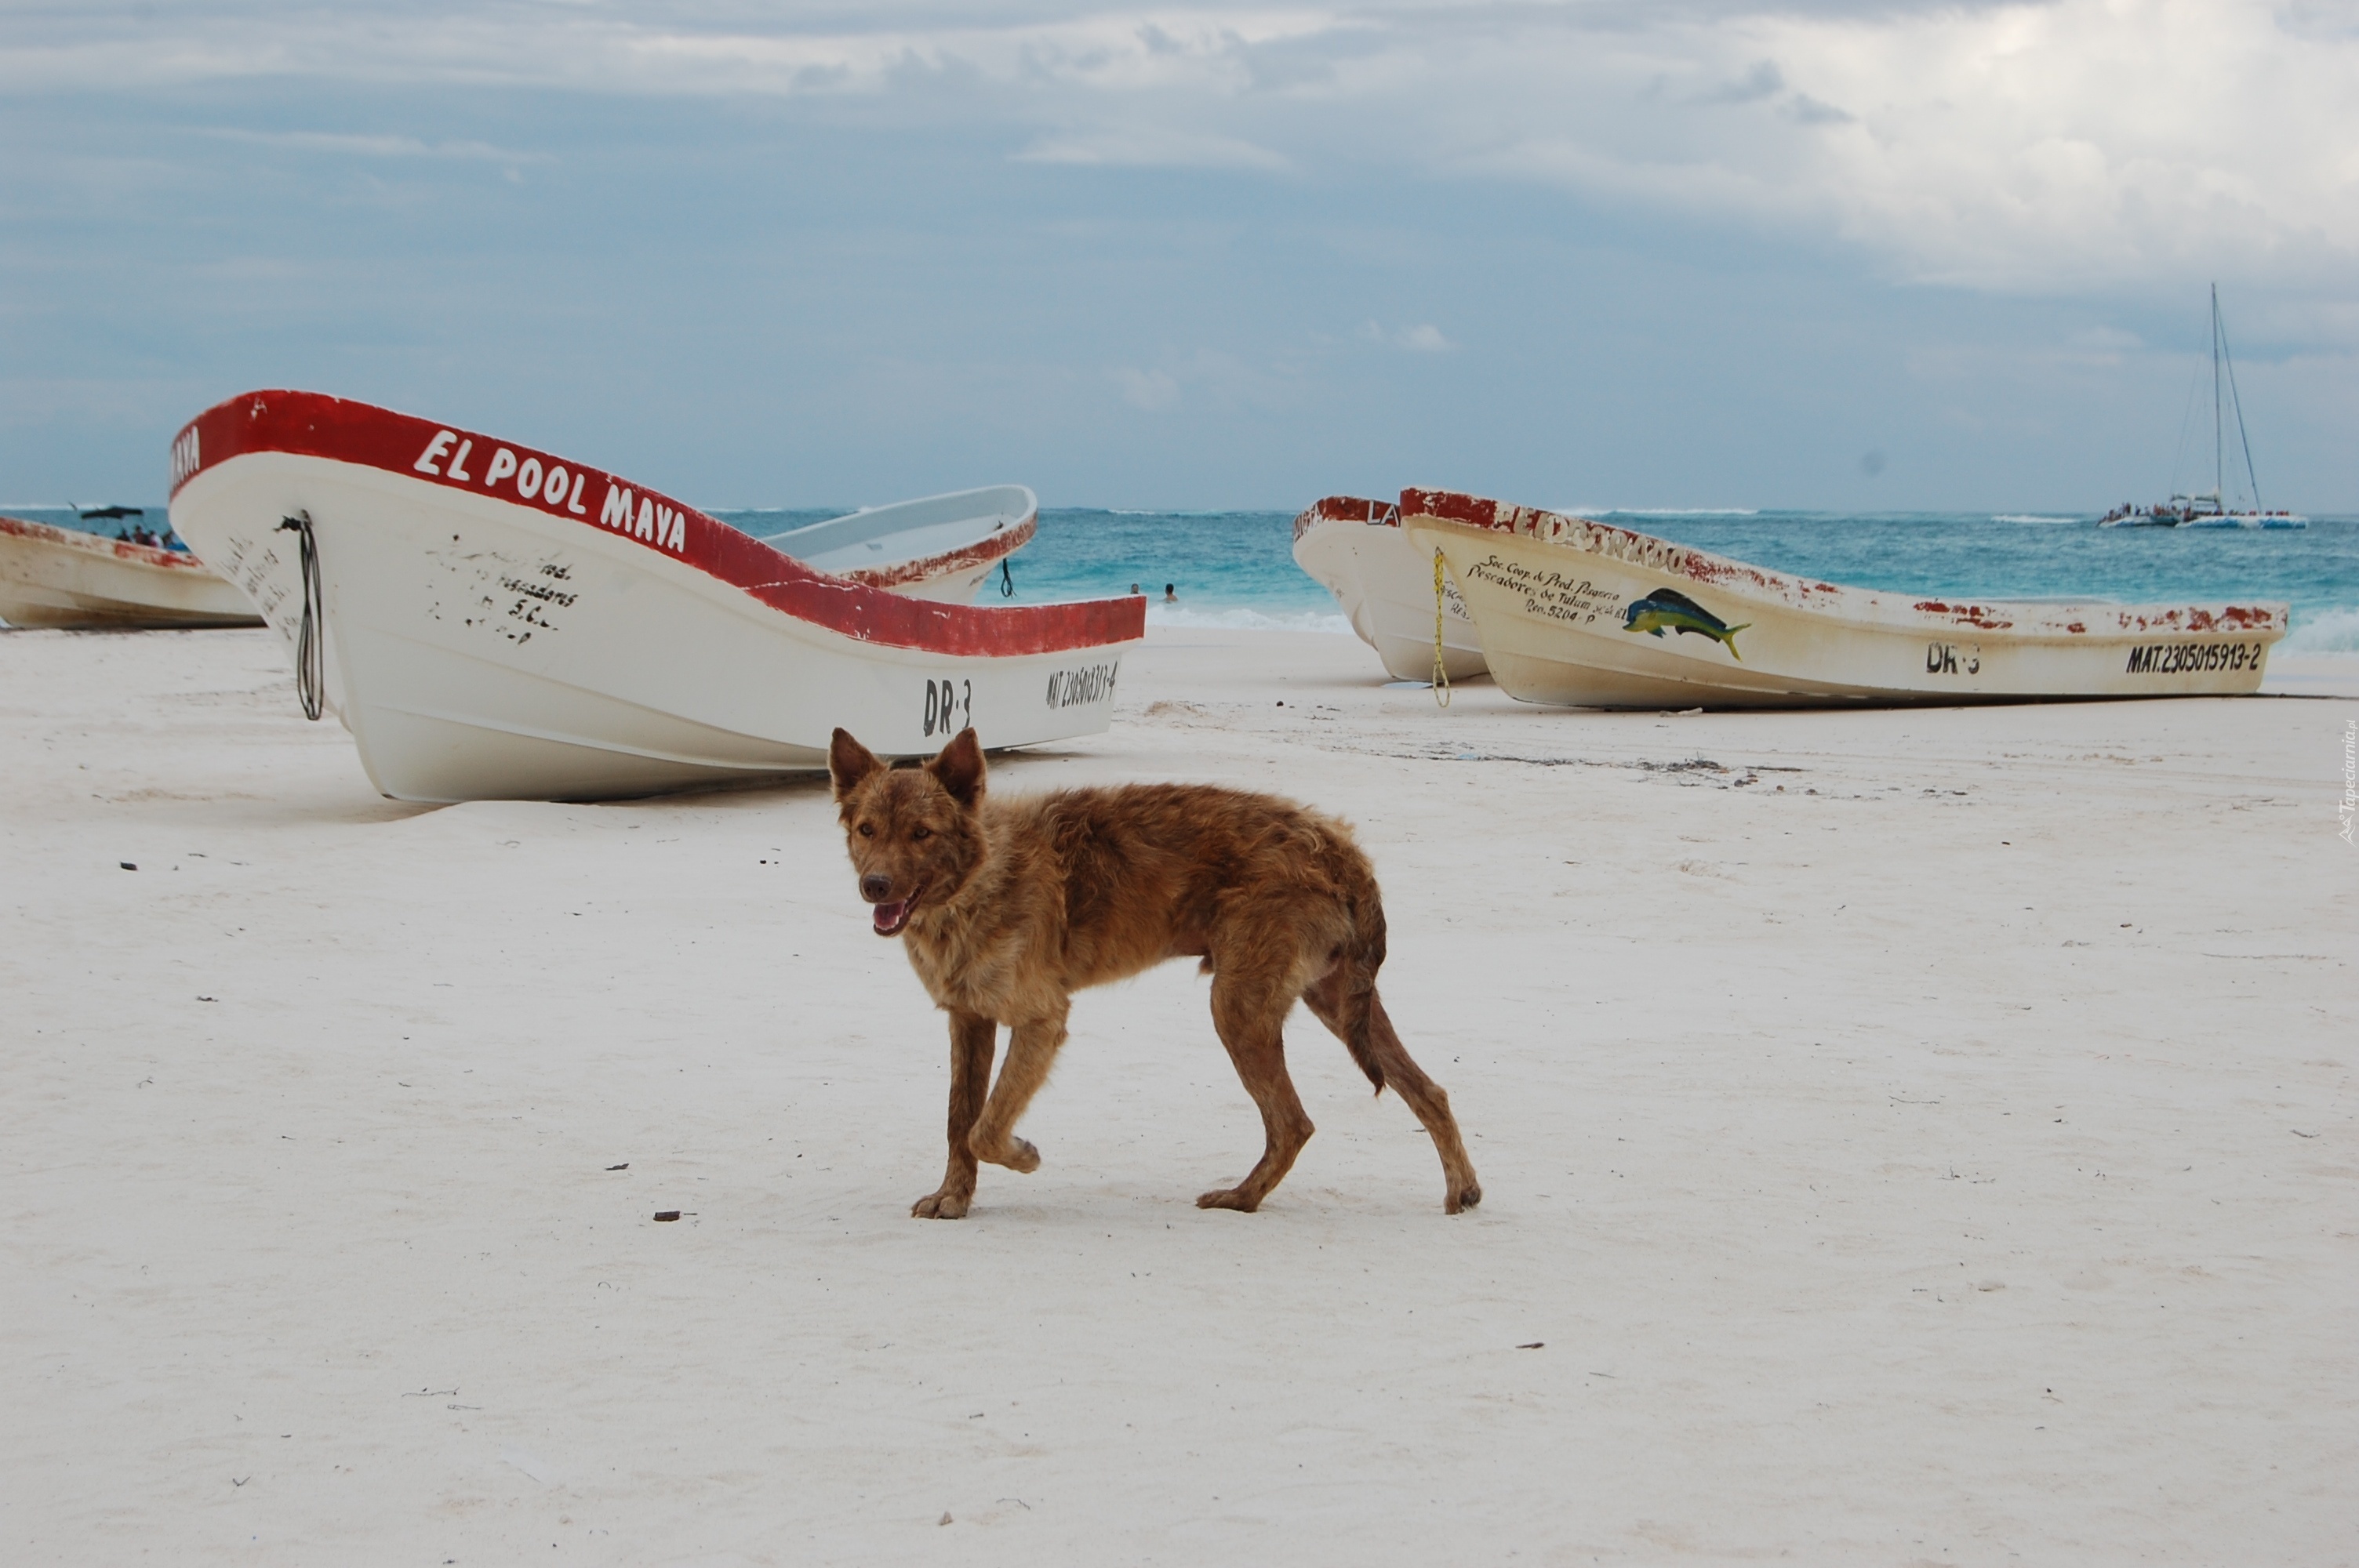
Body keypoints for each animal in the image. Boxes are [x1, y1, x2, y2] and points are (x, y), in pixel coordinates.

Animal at [820, 726, 1462, 1216]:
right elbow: (960, 1120)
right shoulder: (969, 1020)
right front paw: (954, 1198)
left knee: (1293, 1123)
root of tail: (1339, 847)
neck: (981, 880)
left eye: (922, 833)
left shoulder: (1041, 1021)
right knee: (1428, 1090)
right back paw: (1464, 1192)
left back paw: (1242, 1198)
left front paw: (1023, 1155)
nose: (874, 885)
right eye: (867, 830)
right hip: (1333, 1000)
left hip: (1238, 1009)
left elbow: (986, 1126)